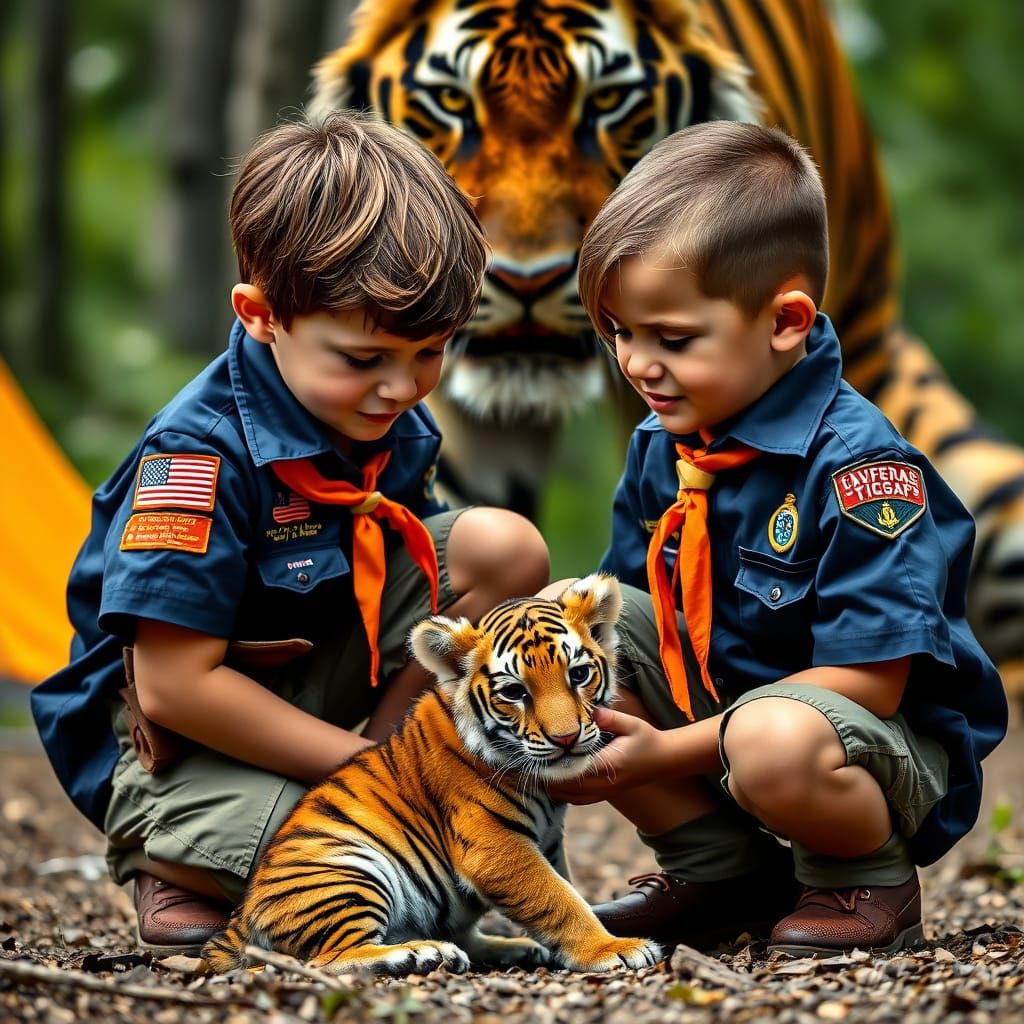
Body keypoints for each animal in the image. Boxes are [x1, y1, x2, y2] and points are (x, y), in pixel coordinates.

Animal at [200, 573, 661, 976]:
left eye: (579, 674)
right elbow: (558, 898)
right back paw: (420, 953)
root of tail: (235, 924)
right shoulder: (494, 845)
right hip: (346, 870)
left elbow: (564, 886)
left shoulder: (545, 841)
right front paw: (612, 948)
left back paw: (509, 948)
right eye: (514, 692)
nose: (566, 739)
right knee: (324, 960)